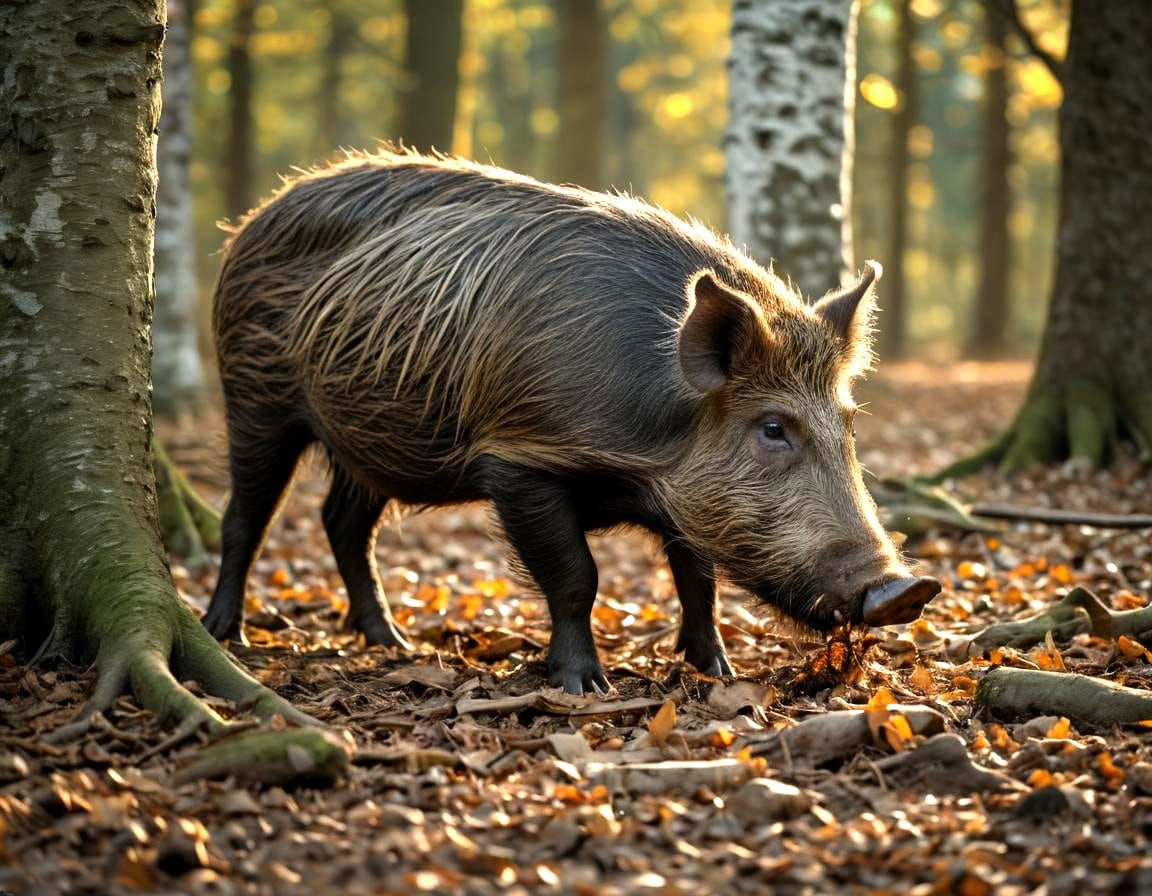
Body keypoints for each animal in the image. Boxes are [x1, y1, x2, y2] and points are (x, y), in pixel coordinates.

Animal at [201, 150, 940, 695]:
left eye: (849, 423)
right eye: (773, 428)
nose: (907, 587)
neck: (648, 453)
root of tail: (249, 222)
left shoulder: (684, 499)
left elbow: (697, 579)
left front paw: (719, 671)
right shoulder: (520, 458)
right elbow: (577, 577)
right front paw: (586, 686)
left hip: (369, 438)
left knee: (342, 522)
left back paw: (390, 641)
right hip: (253, 396)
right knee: (246, 516)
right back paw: (222, 634)